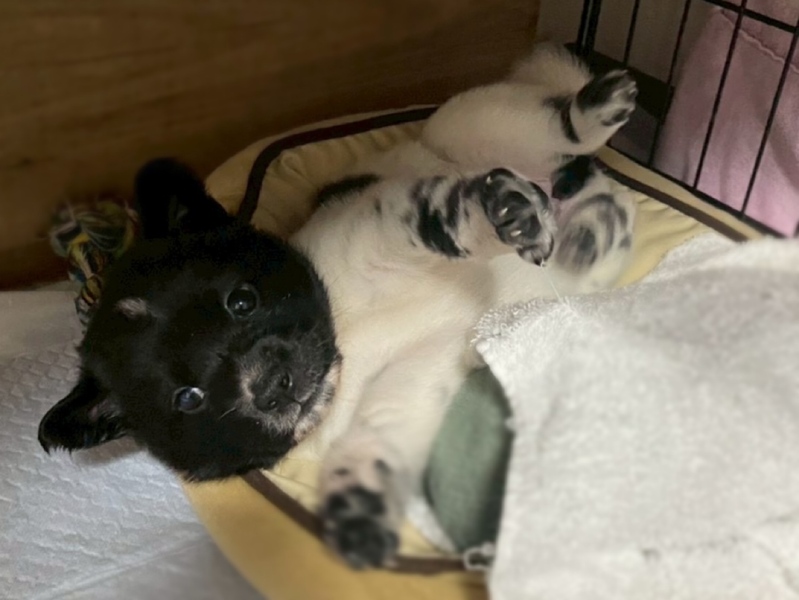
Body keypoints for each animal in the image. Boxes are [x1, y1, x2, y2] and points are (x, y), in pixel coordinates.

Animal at [38, 45, 637, 569]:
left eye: (242, 301)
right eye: (187, 399)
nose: (272, 384)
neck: (345, 337)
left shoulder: (380, 225)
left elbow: (442, 219)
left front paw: (500, 211)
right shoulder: (410, 382)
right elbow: (375, 443)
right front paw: (357, 511)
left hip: (472, 123)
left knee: (556, 127)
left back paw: (588, 115)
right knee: (602, 216)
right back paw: (593, 228)